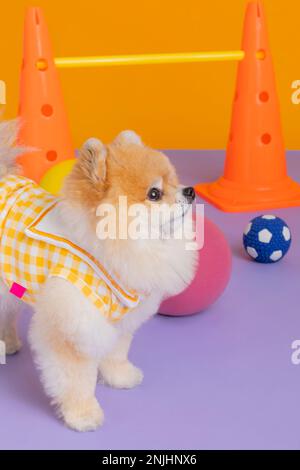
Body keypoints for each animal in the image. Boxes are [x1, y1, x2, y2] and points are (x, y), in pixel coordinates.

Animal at [0, 119, 197, 432]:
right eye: (154, 194)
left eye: (174, 182)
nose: (190, 192)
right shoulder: (73, 328)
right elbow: (76, 380)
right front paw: (82, 414)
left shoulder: (118, 319)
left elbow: (117, 353)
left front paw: (120, 377)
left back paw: (8, 343)